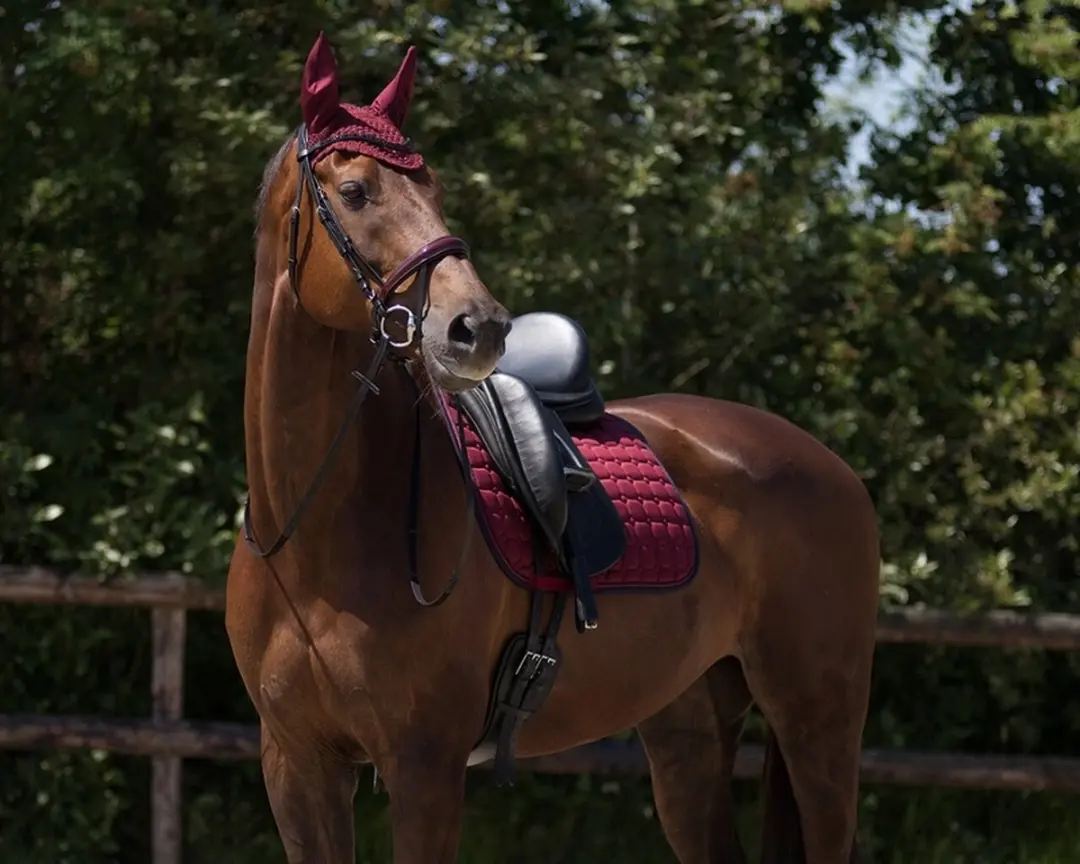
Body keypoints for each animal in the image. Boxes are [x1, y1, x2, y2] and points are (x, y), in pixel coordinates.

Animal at [225, 32, 881, 864]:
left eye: (434, 189)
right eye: (354, 192)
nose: (477, 326)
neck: (313, 534)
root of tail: (829, 466)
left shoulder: (424, 765)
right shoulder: (297, 766)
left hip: (817, 722)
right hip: (690, 729)